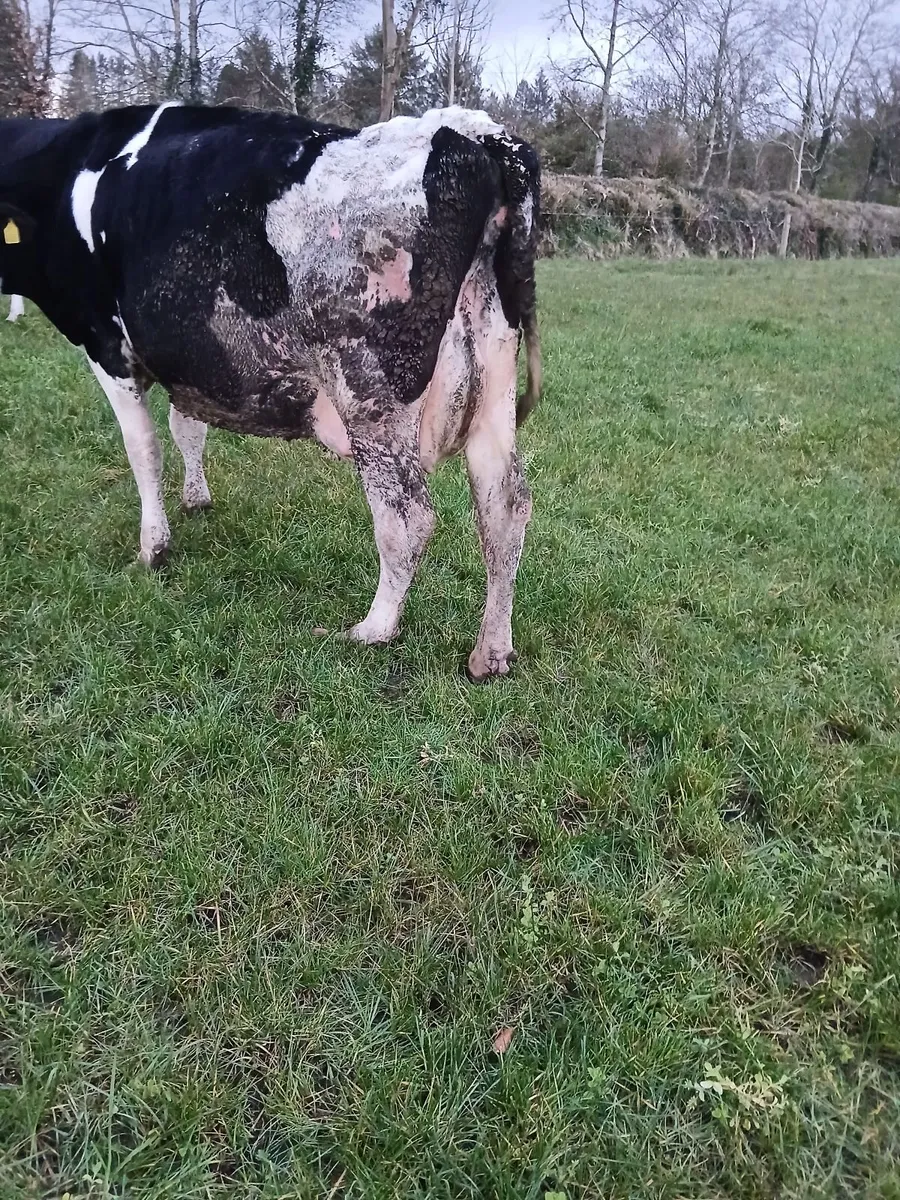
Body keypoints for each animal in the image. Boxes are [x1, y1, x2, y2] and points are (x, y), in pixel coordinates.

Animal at [0, 103, 541, 680]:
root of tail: (473, 132)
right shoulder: (196, 361)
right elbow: (186, 427)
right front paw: (196, 499)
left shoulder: (107, 345)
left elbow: (143, 449)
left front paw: (153, 549)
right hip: (494, 378)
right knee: (505, 507)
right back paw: (491, 652)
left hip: (370, 390)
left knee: (407, 515)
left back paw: (373, 629)